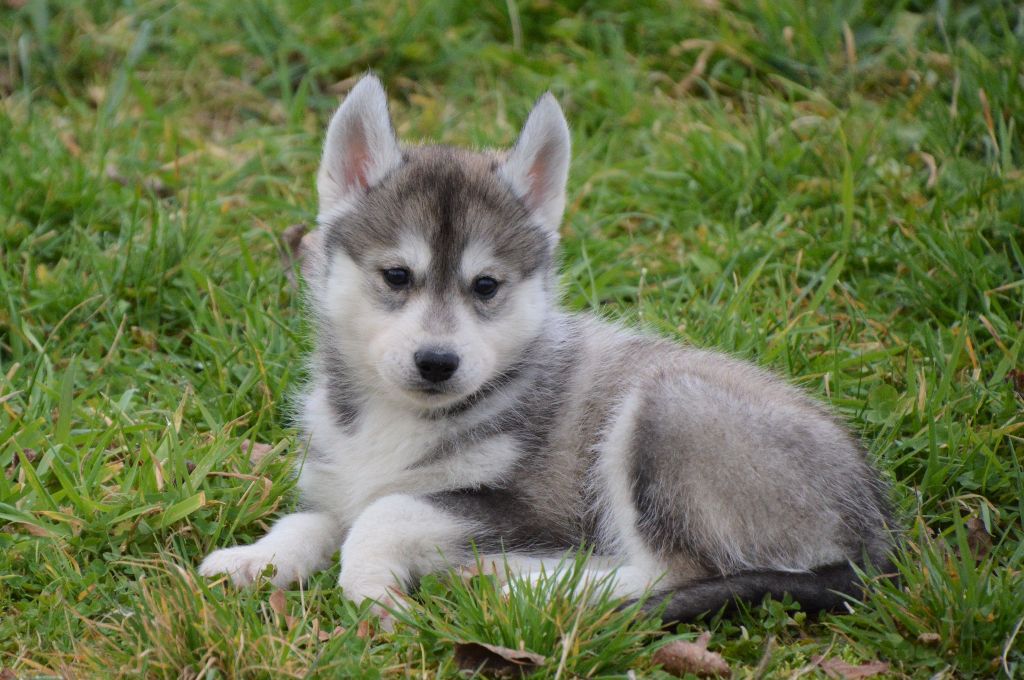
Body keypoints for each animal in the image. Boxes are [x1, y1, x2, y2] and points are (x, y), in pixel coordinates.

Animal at [197, 74, 888, 622]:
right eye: (396, 276)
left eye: (486, 285)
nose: (437, 362)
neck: (400, 420)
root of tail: (879, 530)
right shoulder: (336, 480)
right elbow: (313, 518)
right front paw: (256, 559)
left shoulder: (525, 510)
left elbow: (385, 512)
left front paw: (372, 589)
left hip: (666, 413)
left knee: (669, 570)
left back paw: (525, 586)